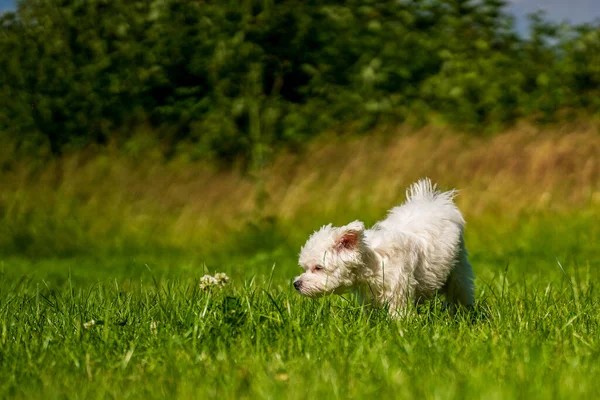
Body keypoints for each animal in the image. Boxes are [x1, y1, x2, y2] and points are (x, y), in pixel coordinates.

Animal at [294, 178, 474, 316]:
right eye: (305, 267)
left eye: (318, 268)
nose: (296, 284)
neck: (372, 263)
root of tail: (431, 201)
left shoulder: (398, 288)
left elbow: (399, 313)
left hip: (458, 269)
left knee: (460, 290)